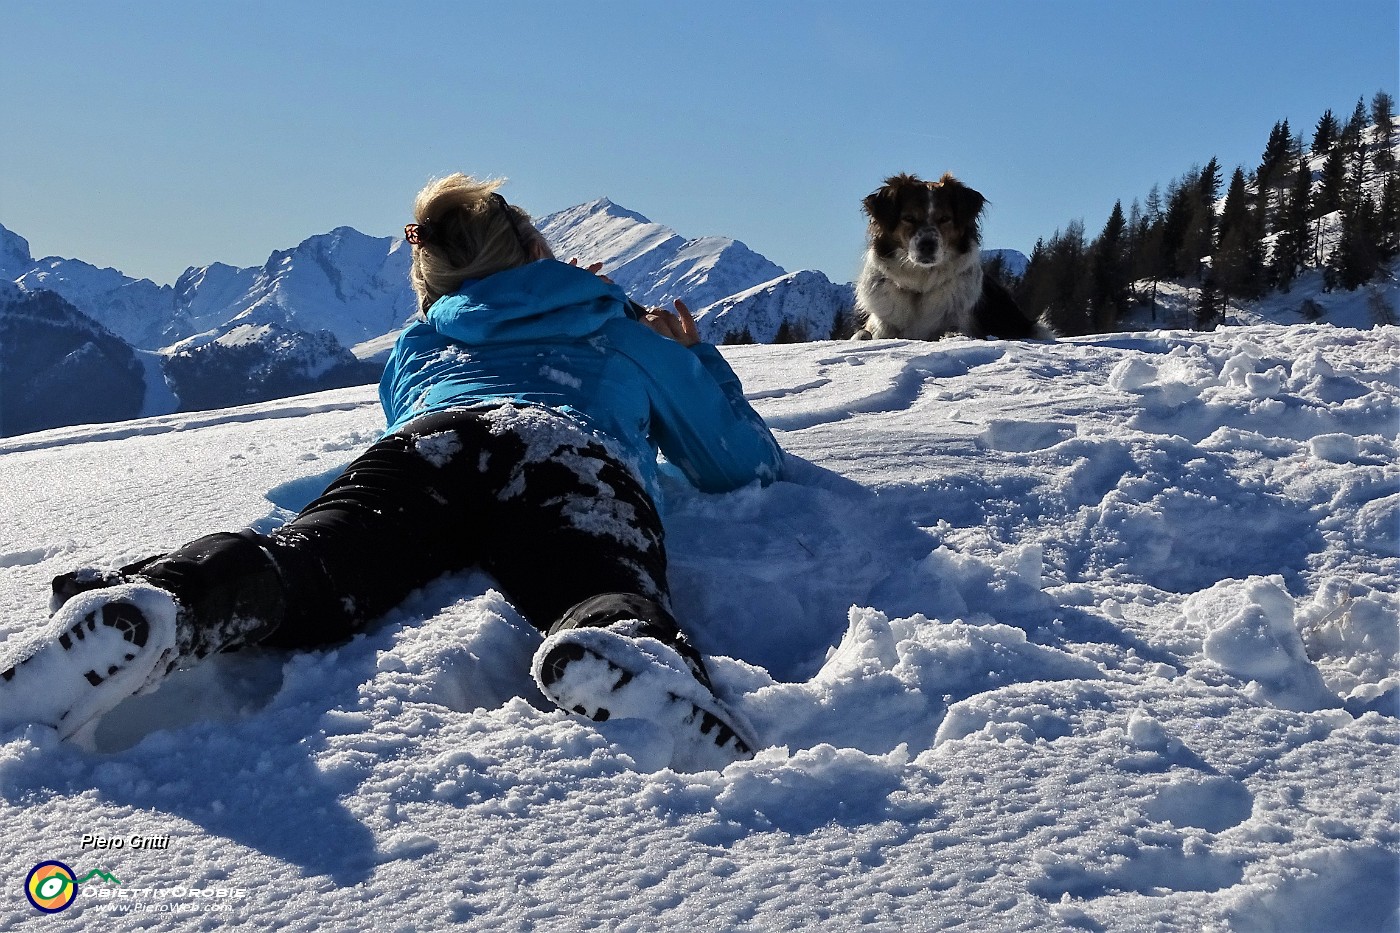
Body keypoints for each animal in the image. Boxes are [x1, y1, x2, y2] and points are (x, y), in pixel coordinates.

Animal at [851, 172, 1052, 340]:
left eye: (944, 218)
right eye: (908, 218)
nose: (927, 245)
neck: (921, 286)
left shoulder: (960, 323)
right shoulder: (882, 325)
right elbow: (864, 334)